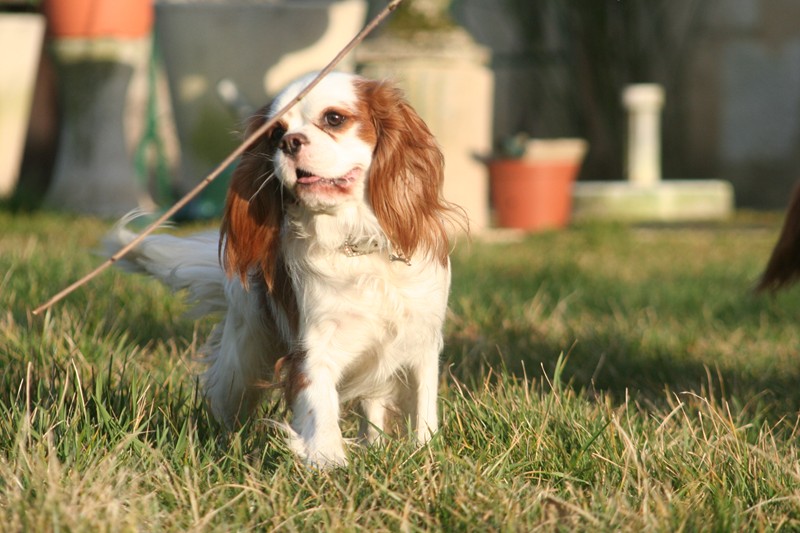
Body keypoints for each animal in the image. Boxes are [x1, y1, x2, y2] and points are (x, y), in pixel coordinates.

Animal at [108, 71, 468, 466]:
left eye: (334, 118)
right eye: (275, 133)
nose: (290, 142)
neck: (356, 242)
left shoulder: (421, 343)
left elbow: (423, 408)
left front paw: (425, 455)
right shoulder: (315, 348)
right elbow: (319, 407)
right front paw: (328, 463)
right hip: (243, 355)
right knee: (227, 401)